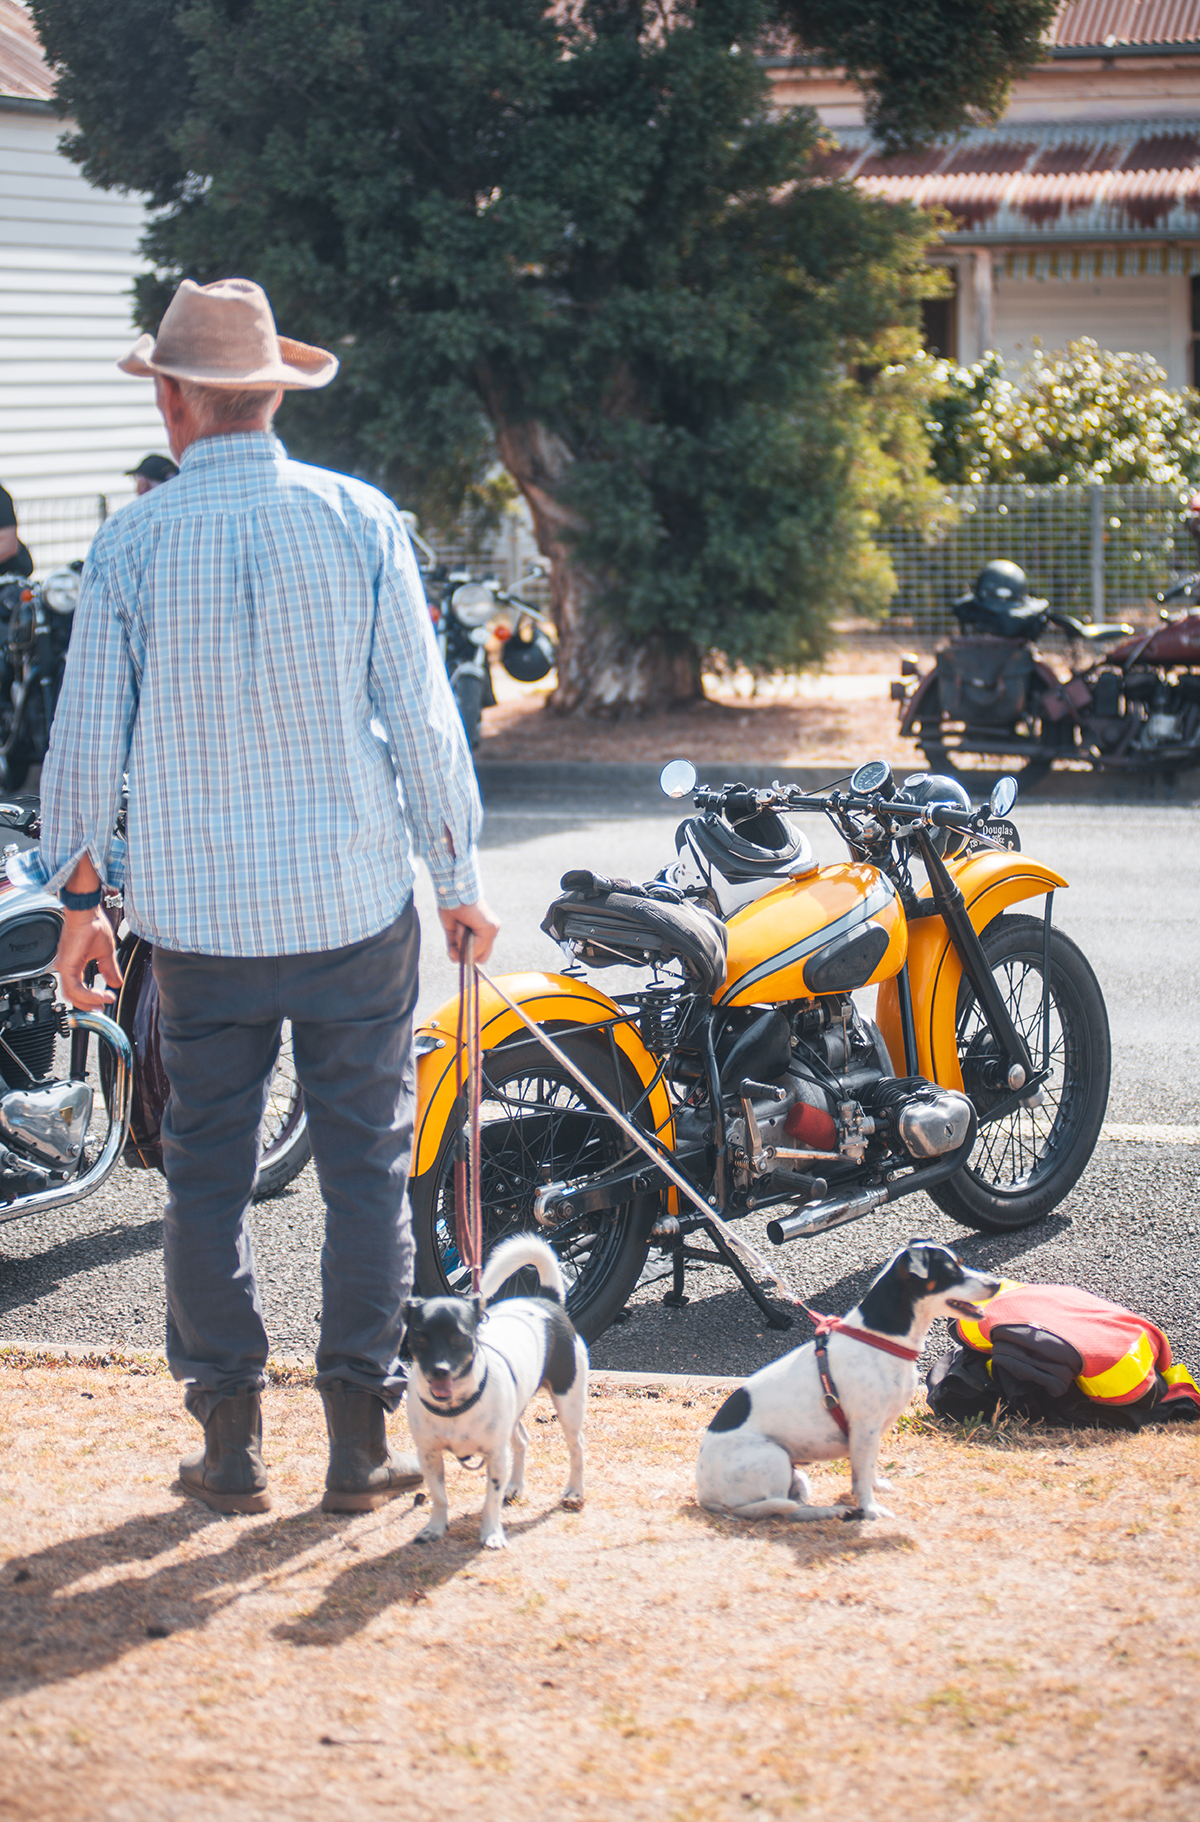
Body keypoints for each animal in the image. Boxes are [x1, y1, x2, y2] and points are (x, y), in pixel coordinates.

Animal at [406, 1231, 589, 1545]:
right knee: (522, 1441)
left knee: (576, 1447)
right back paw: (514, 1486)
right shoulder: (429, 1455)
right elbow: (439, 1496)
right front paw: (435, 1528)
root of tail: (546, 1300)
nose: (439, 1369)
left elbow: (489, 1499)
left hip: (568, 1404)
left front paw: (491, 1534)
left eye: (459, 1338)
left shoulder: (495, 1454)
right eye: (419, 1339)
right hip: (514, 1412)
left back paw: (574, 1491)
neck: (454, 1408)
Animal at [695, 1238, 997, 1523]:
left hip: (796, 1474)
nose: (995, 1283)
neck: (880, 1338)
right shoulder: (865, 1428)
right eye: (952, 1271)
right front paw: (870, 1508)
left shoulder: (870, 1434)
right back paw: (831, 1511)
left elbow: (868, 1468)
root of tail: (705, 1496)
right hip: (773, 1458)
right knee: (786, 1511)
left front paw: (875, 1487)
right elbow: (861, 1477)